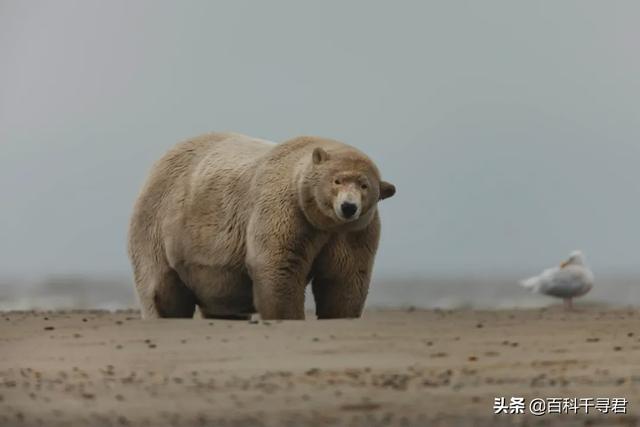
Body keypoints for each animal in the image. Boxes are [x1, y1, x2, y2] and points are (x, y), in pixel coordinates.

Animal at [128, 132, 398, 320]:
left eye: (364, 185)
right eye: (337, 180)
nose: (348, 207)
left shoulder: (352, 232)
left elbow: (345, 276)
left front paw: (339, 314)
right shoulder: (285, 209)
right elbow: (277, 265)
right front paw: (288, 315)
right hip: (159, 222)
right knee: (159, 286)